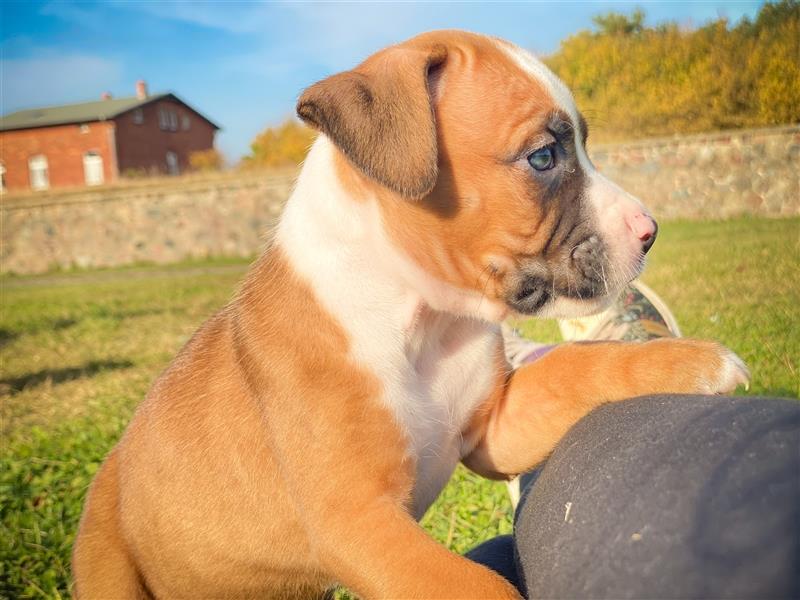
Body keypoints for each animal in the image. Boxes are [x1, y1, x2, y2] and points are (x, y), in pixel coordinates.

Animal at [72, 31, 748, 600]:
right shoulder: (358, 523)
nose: (650, 231)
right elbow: (481, 586)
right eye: (543, 157)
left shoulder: (494, 431)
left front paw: (690, 360)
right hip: (106, 564)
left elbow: (577, 368)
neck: (419, 320)